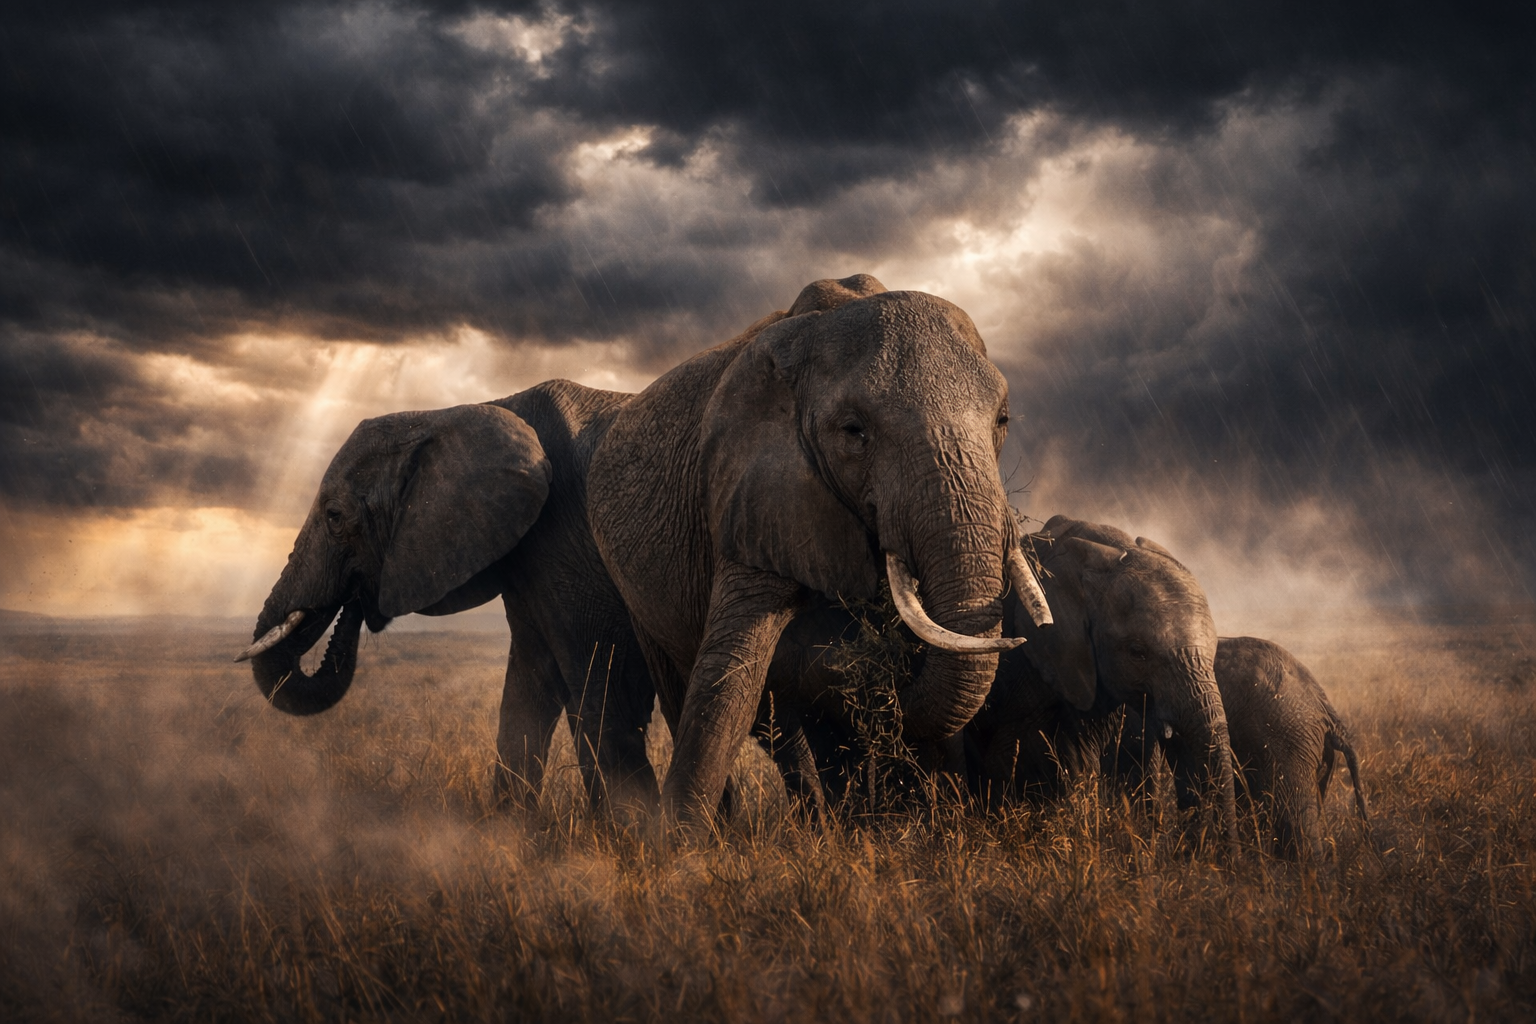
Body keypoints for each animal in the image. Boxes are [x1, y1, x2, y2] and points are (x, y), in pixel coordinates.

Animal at [238, 380, 659, 817]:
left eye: (334, 516)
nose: (356, 598)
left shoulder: (569, 540)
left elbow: (606, 691)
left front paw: (630, 830)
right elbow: (529, 683)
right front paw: (509, 827)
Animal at [586, 274, 1052, 827]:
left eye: (1003, 420)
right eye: (854, 431)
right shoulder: (752, 491)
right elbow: (730, 677)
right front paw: (681, 843)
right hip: (634, 592)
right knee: (701, 693)